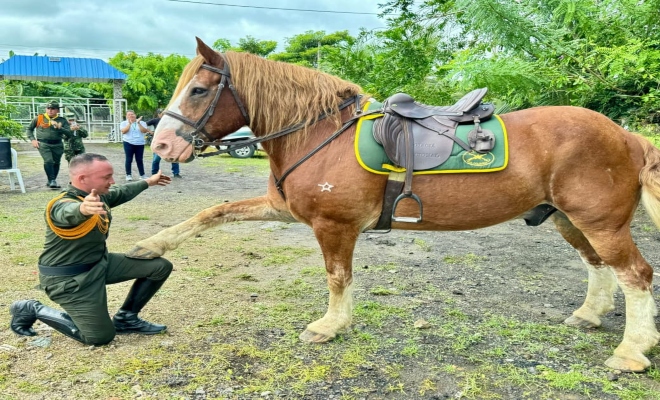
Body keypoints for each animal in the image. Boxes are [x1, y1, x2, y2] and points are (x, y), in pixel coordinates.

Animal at [130, 37, 660, 372]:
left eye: (199, 90)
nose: (162, 145)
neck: (320, 134)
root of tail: (627, 137)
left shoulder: (334, 225)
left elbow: (337, 277)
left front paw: (330, 326)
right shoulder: (282, 209)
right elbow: (211, 213)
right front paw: (149, 247)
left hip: (600, 222)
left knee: (635, 275)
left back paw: (632, 351)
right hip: (569, 220)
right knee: (599, 267)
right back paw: (590, 316)